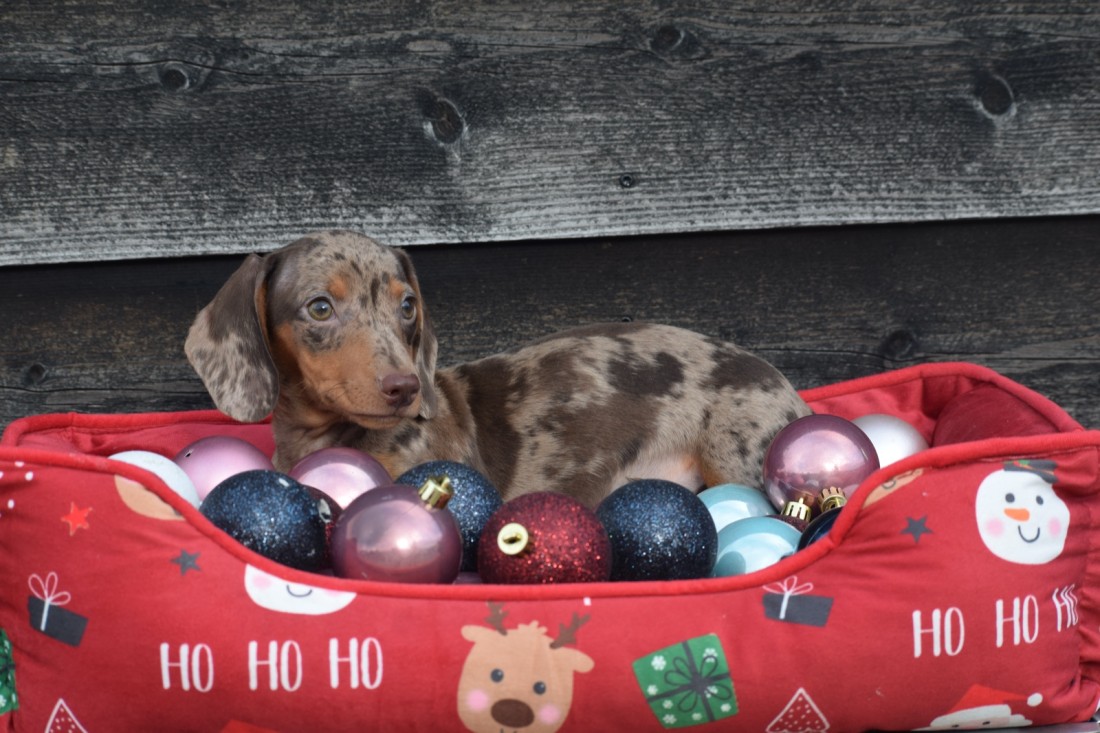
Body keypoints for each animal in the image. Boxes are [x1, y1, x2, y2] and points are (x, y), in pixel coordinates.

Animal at [186, 231, 810, 507]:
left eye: (407, 305)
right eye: (320, 307)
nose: (405, 388)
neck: (325, 436)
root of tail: (791, 393)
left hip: (736, 456)